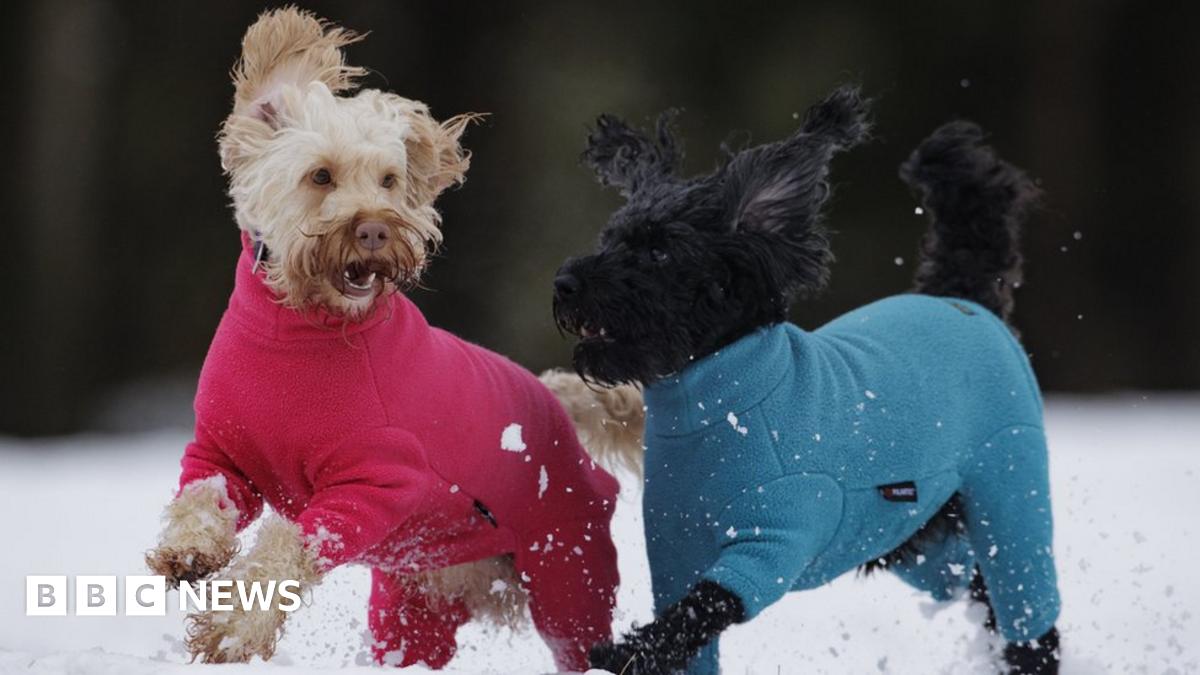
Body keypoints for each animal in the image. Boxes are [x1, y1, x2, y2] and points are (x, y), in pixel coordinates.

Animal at [552, 85, 1060, 672]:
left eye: (659, 250)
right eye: (609, 240)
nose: (565, 281)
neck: (717, 404)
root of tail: (959, 297)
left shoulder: (776, 535)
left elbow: (702, 606)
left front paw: (628, 648)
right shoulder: (675, 549)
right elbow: (689, 625)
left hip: (1009, 488)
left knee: (1030, 617)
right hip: (909, 535)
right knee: (970, 581)